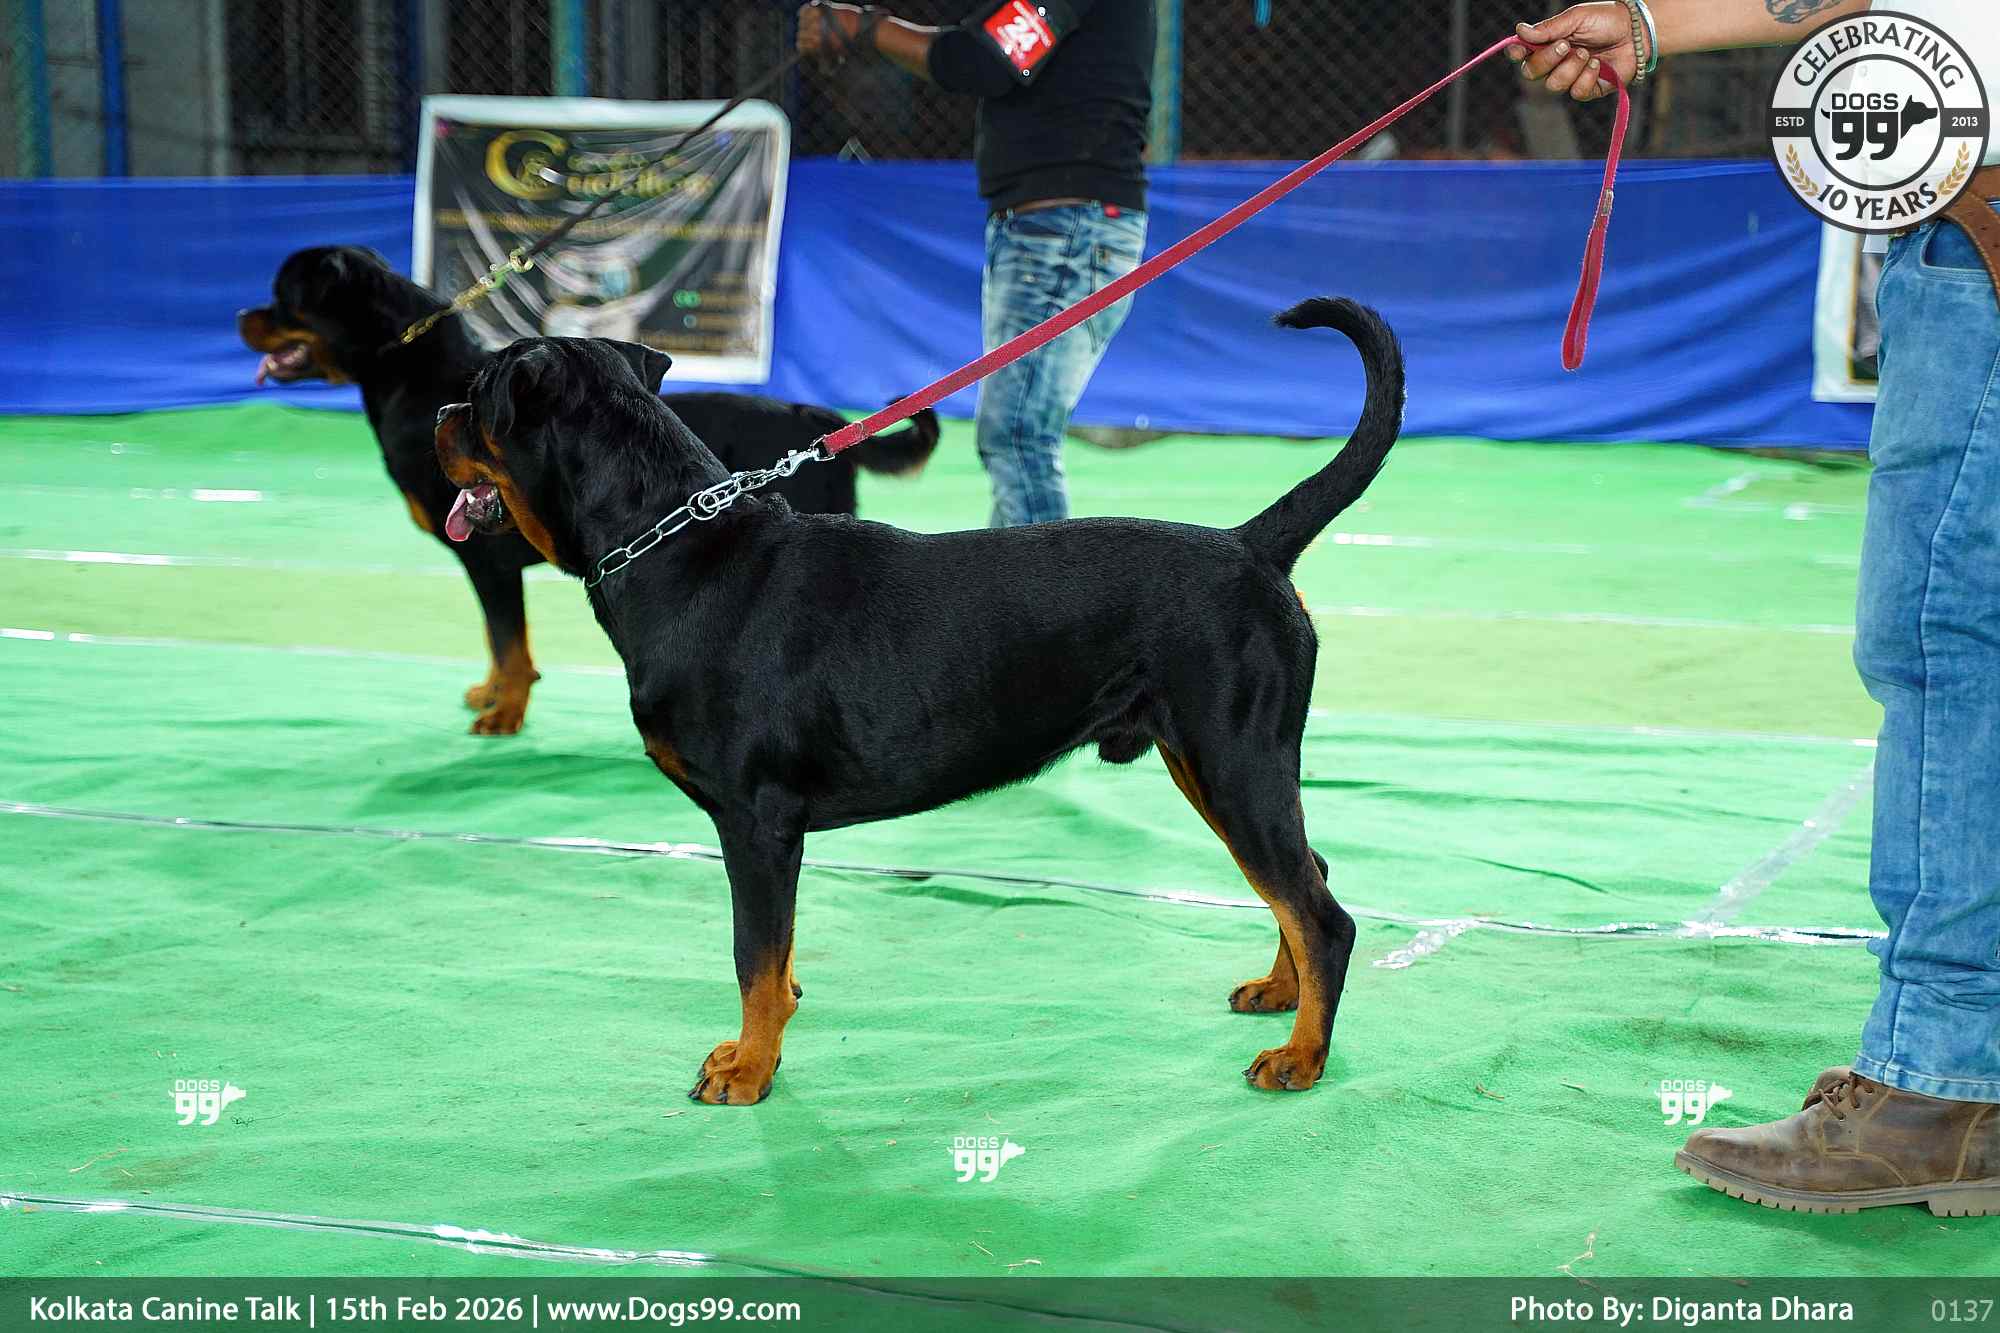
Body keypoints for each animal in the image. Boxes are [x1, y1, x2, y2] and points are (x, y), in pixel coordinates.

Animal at [237, 245, 938, 733]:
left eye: (281, 296)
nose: (243, 314)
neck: (409, 373)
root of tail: (810, 412)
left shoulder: (488, 558)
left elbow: (509, 640)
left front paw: (505, 714)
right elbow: (496, 638)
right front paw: (492, 692)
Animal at [434, 298, 1403, 1103]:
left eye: (477, 395)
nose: (439, 418)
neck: (677, 554)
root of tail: (1255, 546)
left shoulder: (754, 819)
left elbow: (752, 954)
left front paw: (749, 1071)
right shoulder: (770, 836)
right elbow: (778, 955)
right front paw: (760, 1041)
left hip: (1233, 759)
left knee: (1324, 916)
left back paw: (1303, 1057)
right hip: (1211, 763)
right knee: (1304, 879)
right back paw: (1280, 994)